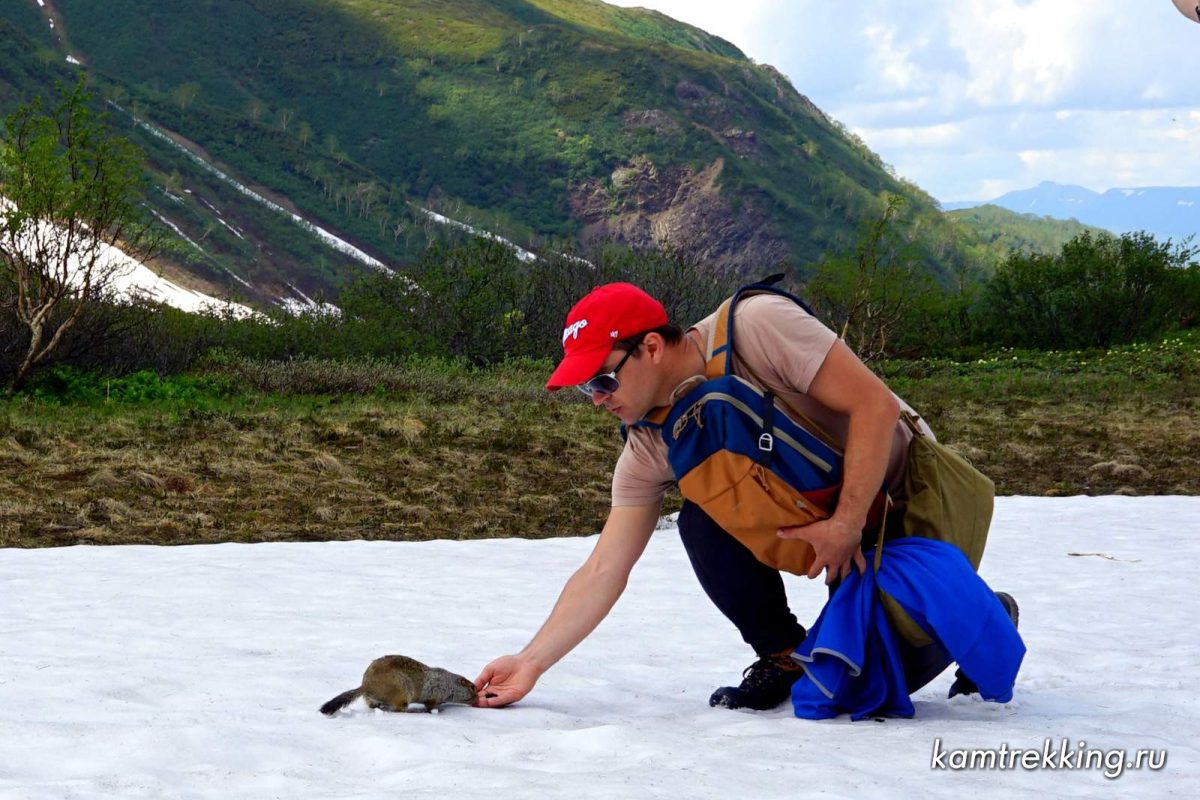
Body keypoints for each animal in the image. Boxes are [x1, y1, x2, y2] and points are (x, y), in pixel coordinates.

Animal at [319, 652, 477, 714]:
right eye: (472, 687)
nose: (477, 699)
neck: (449, 683)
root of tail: (365, 686)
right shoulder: (436, 691)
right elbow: (431, 704)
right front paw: (436, 710)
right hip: (402, 690)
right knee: (399, 709)